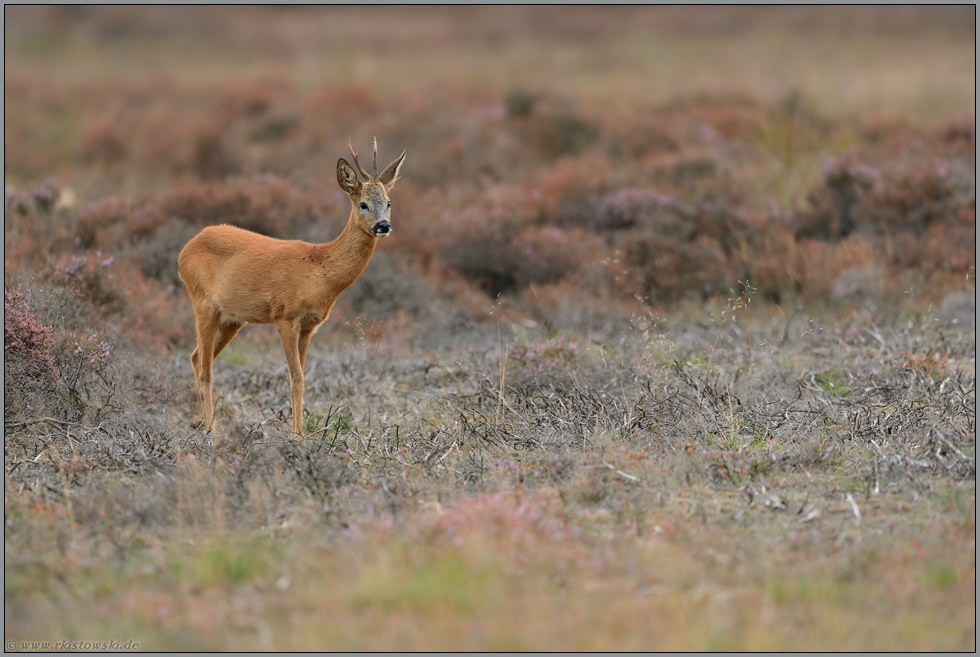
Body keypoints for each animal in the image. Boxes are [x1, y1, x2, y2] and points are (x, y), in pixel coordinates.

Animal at [177, 137, 406, 436]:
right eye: (363, 204)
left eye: (389, 202)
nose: (383, 226)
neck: (321, 269)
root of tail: (185, 250)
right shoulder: (285, 316)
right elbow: (296, 377)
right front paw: (297, 435)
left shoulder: (309, 326)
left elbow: (303, 376)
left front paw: (302, 432)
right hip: (203, 303)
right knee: (205, 369)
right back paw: (212, 434)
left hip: (232, 319)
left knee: (196, 358)